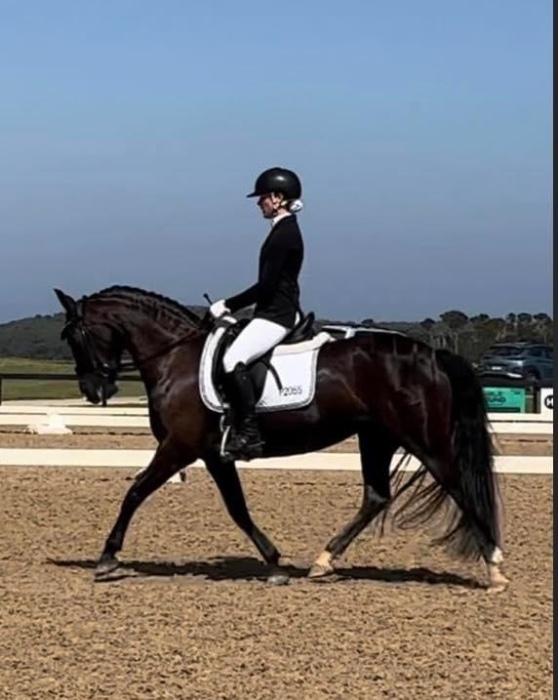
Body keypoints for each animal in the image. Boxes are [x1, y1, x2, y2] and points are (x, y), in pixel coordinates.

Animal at [54, 285, 508, 591]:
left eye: (76, 336)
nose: (94, 391)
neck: (175, 358)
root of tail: (433, 354)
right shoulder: (214, 454)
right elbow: (237, 508)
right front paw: (273, 563)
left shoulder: (179, 447)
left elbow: (135, 492)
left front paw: (107, 558)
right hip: (376, 437)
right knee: (377, 496)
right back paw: (323, 562)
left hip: (423, 440)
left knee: (460, 488)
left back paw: (495, 568)